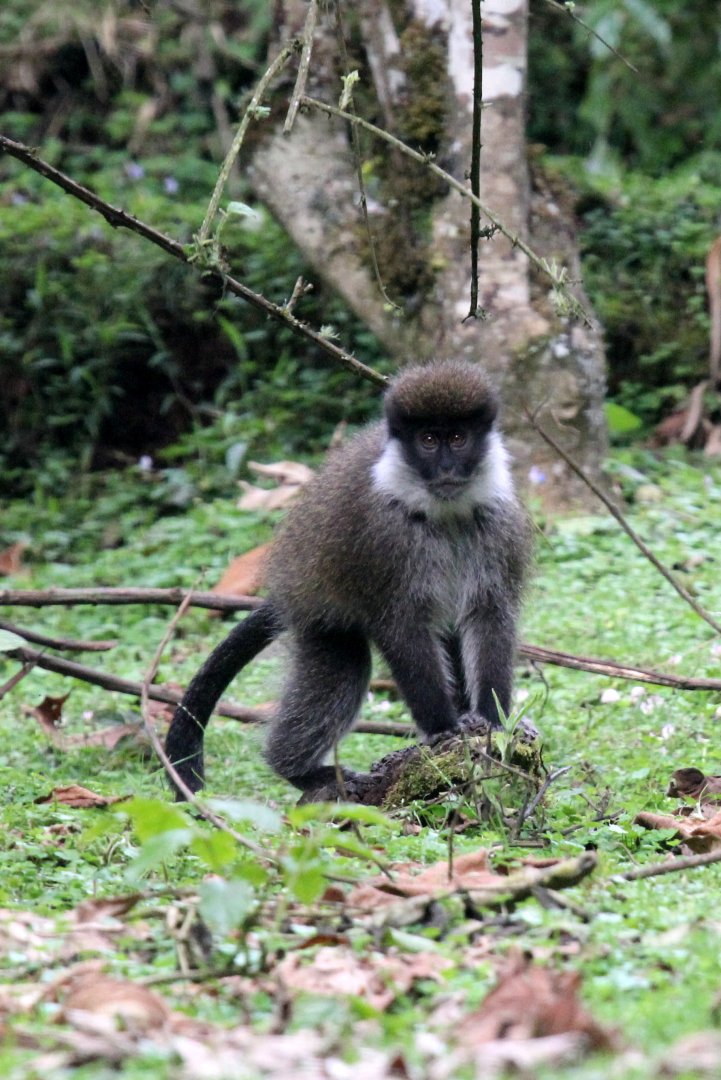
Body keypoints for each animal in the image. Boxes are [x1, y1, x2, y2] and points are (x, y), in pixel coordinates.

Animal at [165, 359, 533, 800]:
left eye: (458, 438)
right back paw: (299, 770)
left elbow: (489, 615)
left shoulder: (500, 526)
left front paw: (494, 721)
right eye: (428, 440)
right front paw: (444, 729)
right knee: (347, 661)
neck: (442, 514)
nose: (446, 468)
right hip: (318, 615)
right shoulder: (383, 542)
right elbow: (400, 630)